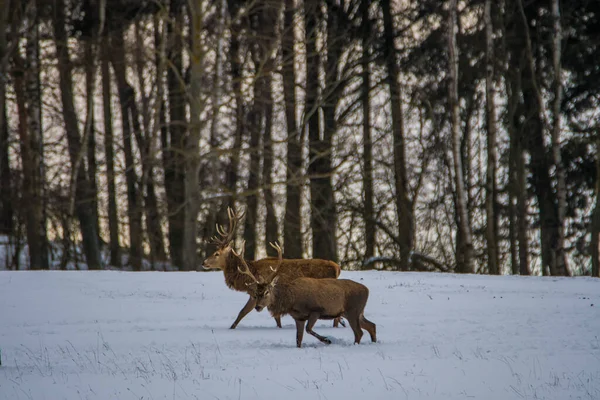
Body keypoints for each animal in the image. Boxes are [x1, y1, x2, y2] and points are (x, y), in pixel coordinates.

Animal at [200, 208, 342, 330]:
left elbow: (244, 312)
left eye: (216, 253)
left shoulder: (257, 292)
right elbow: (245, 313)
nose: (204, 262)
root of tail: (337, 268)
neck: (247, 275)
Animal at [233, 242, 376, 348]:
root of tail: (367, 290)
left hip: (353, 310)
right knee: (371, 326)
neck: (291, 301)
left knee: (359, 332)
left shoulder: (316, 310)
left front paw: (327, 340)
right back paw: (374, 342)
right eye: (256, 293)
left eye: (267, 291)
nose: (257, 307)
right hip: (355, 312)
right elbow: (298, 339)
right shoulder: (298, 317)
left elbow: (308, 329)